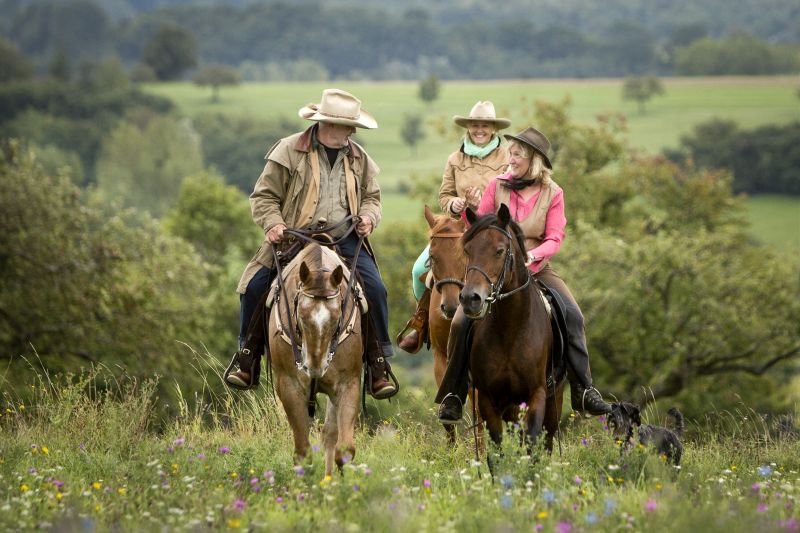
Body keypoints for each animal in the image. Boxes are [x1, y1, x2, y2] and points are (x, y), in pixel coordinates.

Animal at [268, 243, 362, 476]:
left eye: (337, 318)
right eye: (301, 316)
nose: (315, 368)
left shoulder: (348, 384)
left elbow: (344, 450)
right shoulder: (289, 386)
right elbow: (303, 454)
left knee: (329, 434)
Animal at [460, 204, 564, 454]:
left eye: (499, 251)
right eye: (468, 250)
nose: (470, 298)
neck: (511, 328)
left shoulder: (537, 394)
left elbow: (533, 442)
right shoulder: (488, 398)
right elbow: (496, 448)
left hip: (554, 399)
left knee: (547, 441)